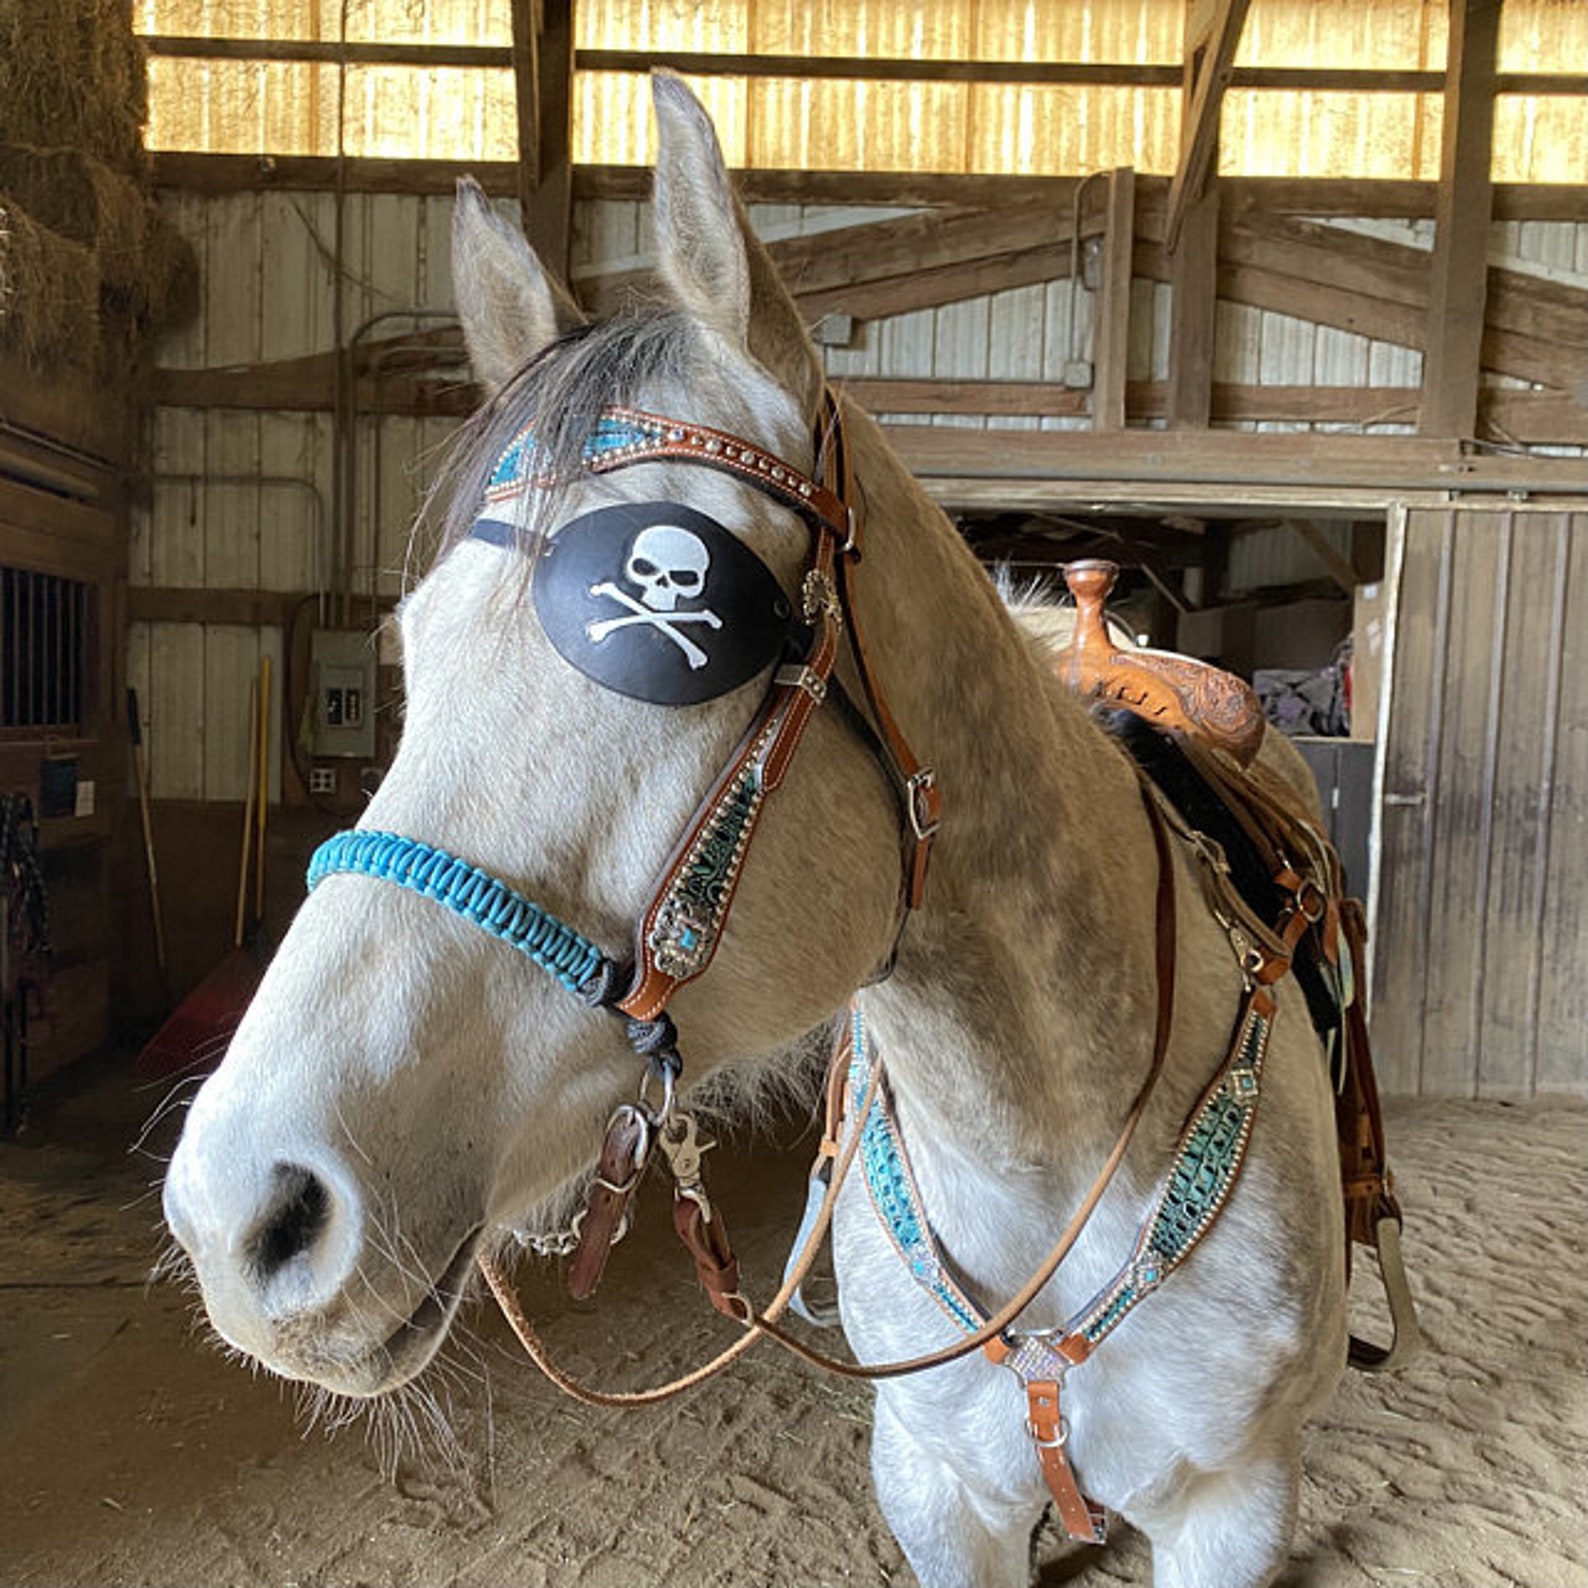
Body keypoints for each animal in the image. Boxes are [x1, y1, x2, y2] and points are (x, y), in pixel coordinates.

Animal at [162, 75, 1347, 1588]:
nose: (240, 1212)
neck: (1051, 1143)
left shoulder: (1233, 1508)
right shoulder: (939, 1495)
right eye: (411, 650)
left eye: (672, 642)